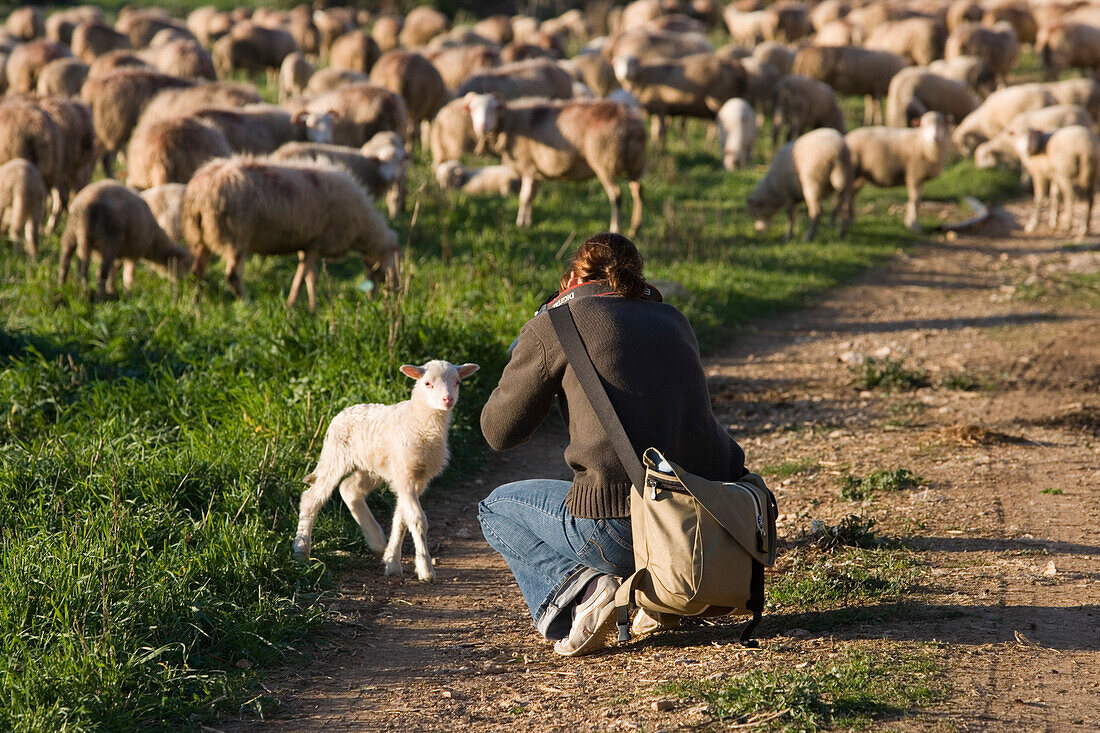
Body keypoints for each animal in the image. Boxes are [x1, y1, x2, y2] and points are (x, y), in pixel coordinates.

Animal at [58, 178, 192, 299]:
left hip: (72, 233)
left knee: (66, 262)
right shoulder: (134, 252)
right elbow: (128, 276)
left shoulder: (121, 252)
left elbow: (114, 271)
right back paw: (98, 297)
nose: (185, 284)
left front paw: (112, 290)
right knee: (99, 272)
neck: (154, 241)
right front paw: (128, 294)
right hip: (108, 241)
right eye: (186, 266)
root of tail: (85, 203)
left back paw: (63, 287)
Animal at [182, 155, 402, 310]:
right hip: (235, 236)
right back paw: (249, 305)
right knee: (233, 277)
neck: (362, 228)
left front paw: (313, 308)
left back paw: (195, 305)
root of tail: (198, 192)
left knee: (196, 272)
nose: (398, 292)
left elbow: (310, 278)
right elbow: (303, 278)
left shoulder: (308, 244)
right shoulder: (317, 242)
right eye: (394, 264)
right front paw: (292, 306)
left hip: (202, 236)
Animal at [292, 356, 481, 581]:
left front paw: (392, 563)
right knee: (311, 499)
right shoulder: (405, 474)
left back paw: (376, 540)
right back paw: (301, 551)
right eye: (427, 383)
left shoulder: (417, 478)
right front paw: (425, 569)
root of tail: (342, 413)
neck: (419, 421)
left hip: (372, 468)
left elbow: (401, 518)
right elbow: (417, 520)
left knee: (349, 489)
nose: (447, 399)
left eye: (457, 382)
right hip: (335, 456)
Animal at [466, 94, 651, 231]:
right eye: (473, 109)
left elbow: (524, 197)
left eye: (494, 108)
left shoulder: (527, 166)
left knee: (616, 195)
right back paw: (636, 227)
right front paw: (528, 222)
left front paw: (520, 224)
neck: (512, 122)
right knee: (638, 190)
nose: (482, 127)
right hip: (636, 162)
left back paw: (615, 228)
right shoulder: (535, 170)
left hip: (604, 162)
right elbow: (531, 196)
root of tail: (630, 122)